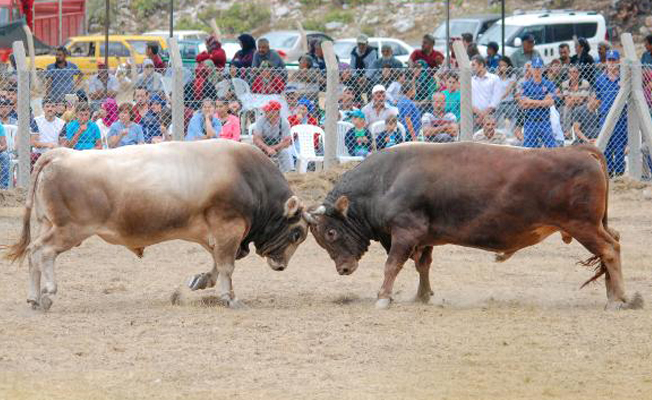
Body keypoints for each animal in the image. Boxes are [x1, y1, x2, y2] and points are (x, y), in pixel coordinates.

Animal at [308, 142, 640, 310]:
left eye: (331, 232)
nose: (344, 269)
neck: (386, 180)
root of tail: (581, 150)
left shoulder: (404, 233)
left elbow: (392, 265)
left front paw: (383, 297)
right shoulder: (424, 237)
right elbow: (422, 265)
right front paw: (422, 295)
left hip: (583, 225)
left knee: (610, 249)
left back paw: (619, 298)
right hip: (593, 224)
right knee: (613, 241)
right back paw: (613, 294)